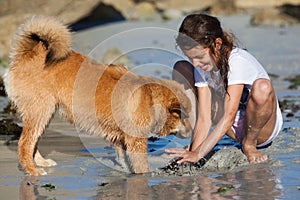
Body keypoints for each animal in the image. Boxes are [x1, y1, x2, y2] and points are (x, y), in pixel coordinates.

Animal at [5, 16, 192, 175]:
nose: (191, 133)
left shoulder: (120, 137)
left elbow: (122, 159)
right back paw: (32, 169)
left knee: (32, 142)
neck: (151, 98)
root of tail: (28, 54)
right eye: (184, 116)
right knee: (24, 143)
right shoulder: (136, 140)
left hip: (45, 112)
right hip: (40, 110)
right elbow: (141, 166)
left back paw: (41, 163)